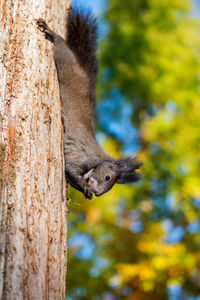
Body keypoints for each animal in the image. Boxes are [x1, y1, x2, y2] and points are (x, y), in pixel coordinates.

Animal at [36, 7, 142, 199]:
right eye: (107, 177)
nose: (98, 193)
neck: (95, 163)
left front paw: (86, 191)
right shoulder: (79, 157)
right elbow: (71, 168)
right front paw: (85, 187)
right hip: (66, 63)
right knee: (62, 48)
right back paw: (52, 33)